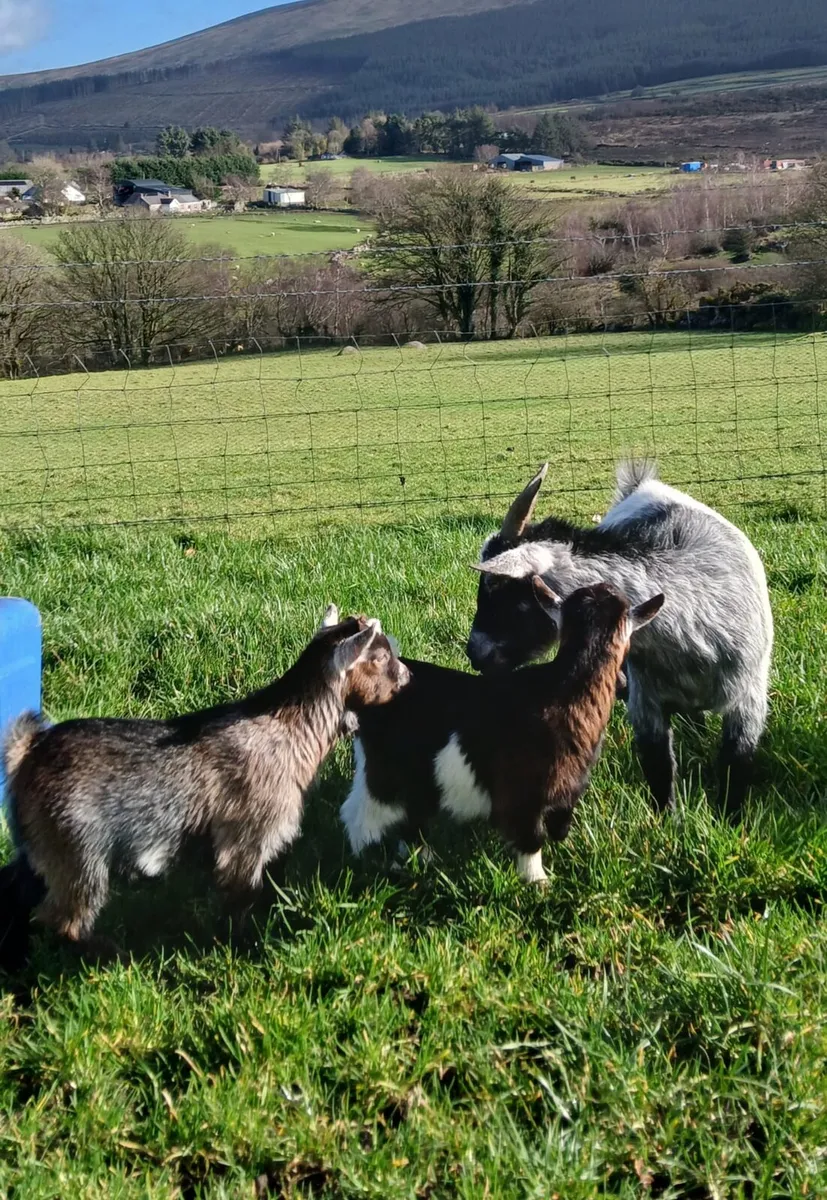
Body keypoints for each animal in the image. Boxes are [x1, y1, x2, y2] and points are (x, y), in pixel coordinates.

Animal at [0, 607, 409, 970]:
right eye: (381, 656)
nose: (406, 676)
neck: (290, 729)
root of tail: (29, 751)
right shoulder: (246, 838)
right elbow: (241, 894)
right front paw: (241, 945)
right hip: (78, 852)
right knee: (62, 919)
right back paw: (108, 954)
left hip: (41, 849)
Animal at [340, 581, 663, 883]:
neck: (563, 688)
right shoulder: (521, 792)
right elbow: (531, 837)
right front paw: (537, 883)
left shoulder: (569, 783)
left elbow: (560, 824)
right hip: (387, 776)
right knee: (360, 816)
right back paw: (372, 864)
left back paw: (423, 858)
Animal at [466, 461, 773, 813]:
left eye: (498, 588)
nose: (474, 652)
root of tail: (642, 486)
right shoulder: (646, 702)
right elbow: (658, 768)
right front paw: (668, 820)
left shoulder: (749, 700)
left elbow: (735, 765)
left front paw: (730, 818)